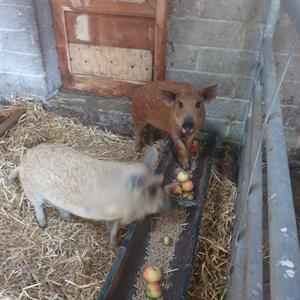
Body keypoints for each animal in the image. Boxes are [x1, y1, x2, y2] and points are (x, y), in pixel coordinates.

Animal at [5, 143, 169, 248]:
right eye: (151, 190)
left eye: (161, 180)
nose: (170, 204)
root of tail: (23, 164)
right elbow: (112, 228)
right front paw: (113, 247)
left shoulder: (115, 215)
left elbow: (113, 230)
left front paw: (113, 246)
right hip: (33, 192)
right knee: (38, 206)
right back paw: (43, 225)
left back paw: (69, 219)